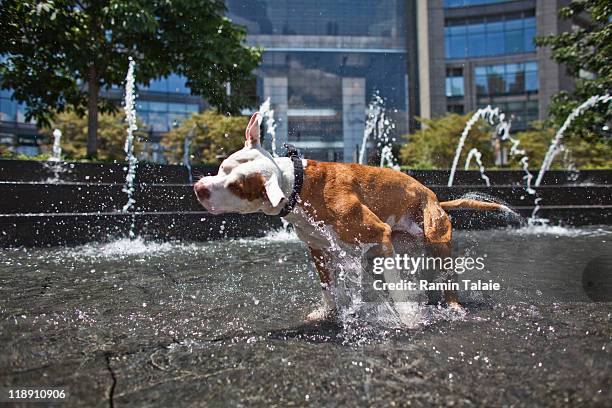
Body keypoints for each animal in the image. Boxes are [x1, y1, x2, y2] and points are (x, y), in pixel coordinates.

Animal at [196, 112, 506, 322]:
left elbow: (396, 289)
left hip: (435, 241)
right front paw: (329, 312)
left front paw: (408, 319)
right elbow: (329, 287)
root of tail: (434, 197)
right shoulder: (319, 249)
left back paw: (453, 306)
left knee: (445, 277)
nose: (199, 188)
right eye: (222, 167)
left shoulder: (378, 232)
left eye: (237, 186)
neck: (298, 185)